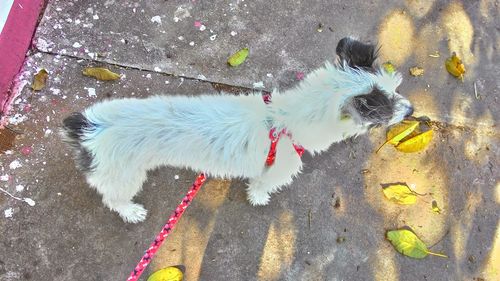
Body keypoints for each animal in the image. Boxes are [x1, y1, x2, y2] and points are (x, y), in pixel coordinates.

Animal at [61, 37, 414, 222]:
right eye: (387, 108)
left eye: (396, 89)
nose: (412, 110)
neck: (285, 122)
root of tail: (87, 127)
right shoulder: (274, 171)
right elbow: (261, 186)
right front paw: (259, 198)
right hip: (124, 176)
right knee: (113, 198)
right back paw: (130, 211)